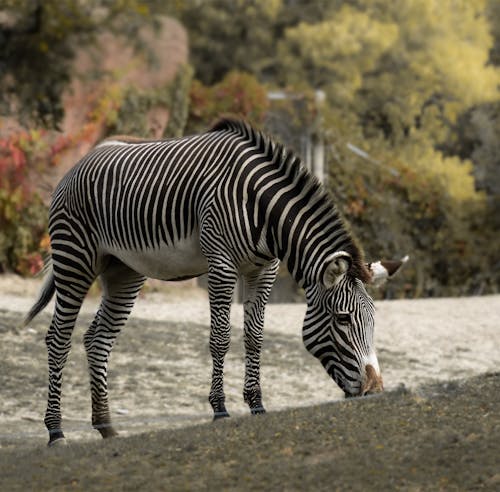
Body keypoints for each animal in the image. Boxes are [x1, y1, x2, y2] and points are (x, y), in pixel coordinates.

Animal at [24, 118, 406, 446]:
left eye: (373, 319)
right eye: (342, 319)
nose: (375, 391)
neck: (262, 207)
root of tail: (82, 160)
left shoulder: (263, 269)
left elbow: (254, 339)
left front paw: (256, 405)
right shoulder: (221, 265)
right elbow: (220, 338)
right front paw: (220, 409)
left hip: (124, 270)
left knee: (97, 340)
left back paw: (106, 426)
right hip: (74, 258)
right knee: (58, 339)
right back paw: (56, 431)